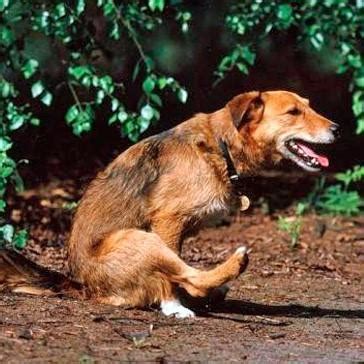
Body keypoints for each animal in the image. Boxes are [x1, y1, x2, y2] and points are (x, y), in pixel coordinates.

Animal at [0, 91, 338, 318]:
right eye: (293, 112)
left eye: (308, 106)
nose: (337, 129)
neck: (220, 146)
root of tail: (81, 286)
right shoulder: (168, 221)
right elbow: (176, 279)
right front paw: (174, 305)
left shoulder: (179, 230)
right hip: (141, 239)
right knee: (191, 278)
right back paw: (229, 270)